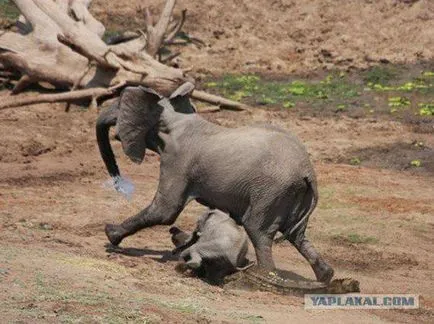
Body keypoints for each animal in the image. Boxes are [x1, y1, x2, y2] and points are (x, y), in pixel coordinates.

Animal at [98, 84, 334, 284]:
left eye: (118, 105)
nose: (119, 184)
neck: (174, 118)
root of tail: (308, 171)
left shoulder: (177, 160)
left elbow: (165, 210)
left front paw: (110, 235)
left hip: (271, 191)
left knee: (258, 230)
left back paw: (264, 276)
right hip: (294, 194)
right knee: (297, 235)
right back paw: (325, 277)